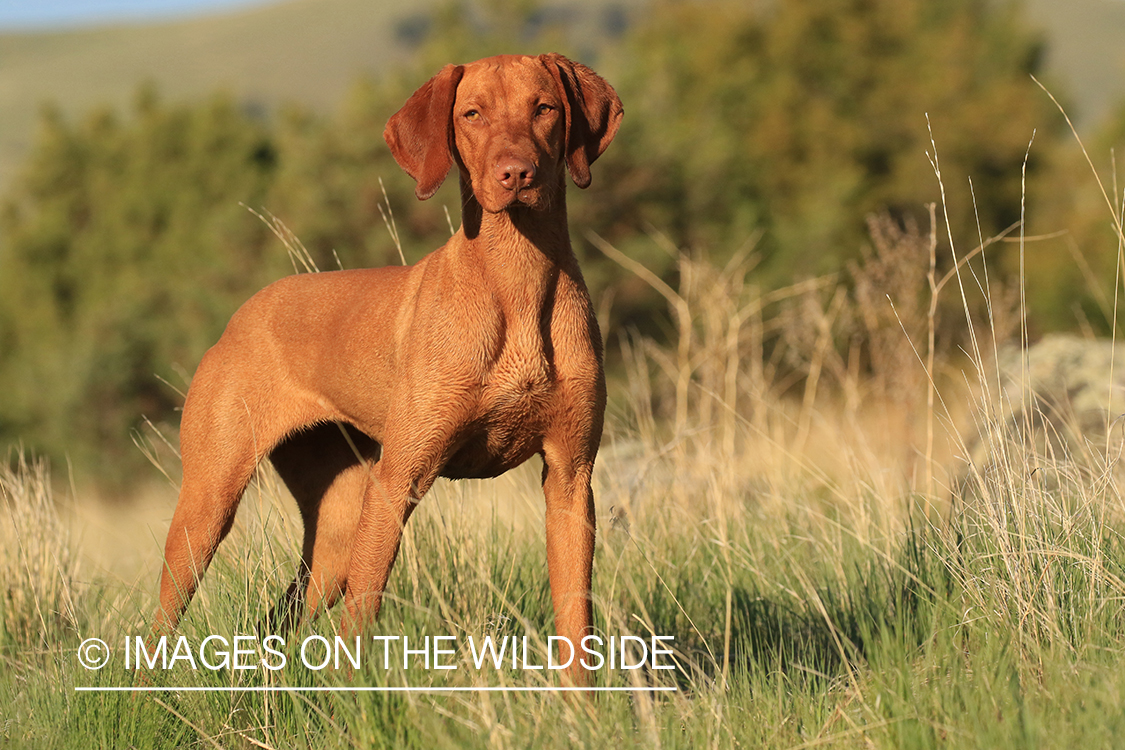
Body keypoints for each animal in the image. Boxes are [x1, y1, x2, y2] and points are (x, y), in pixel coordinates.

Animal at [153, 52, 625, 688]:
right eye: (472, 114)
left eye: (544, 108)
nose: (517, 175)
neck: (517, 279)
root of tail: (241, 314)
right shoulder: (397, 482)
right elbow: (361, 620)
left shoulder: (572, 480)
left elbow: (577, 630)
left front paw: (581, 708)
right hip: (210, 502)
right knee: (161, 618)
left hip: (333, 532)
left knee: (277, 617)